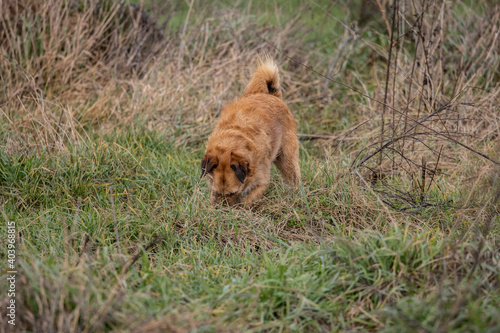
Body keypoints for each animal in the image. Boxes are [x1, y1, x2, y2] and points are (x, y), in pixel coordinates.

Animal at [202, 56, 300, 205]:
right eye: (217, 192)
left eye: (233, 193)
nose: (223, 209)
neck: (230, 143)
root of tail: (273, 95)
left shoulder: (261, 181)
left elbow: (248, 200)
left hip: (286, 158)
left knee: (293, 176)